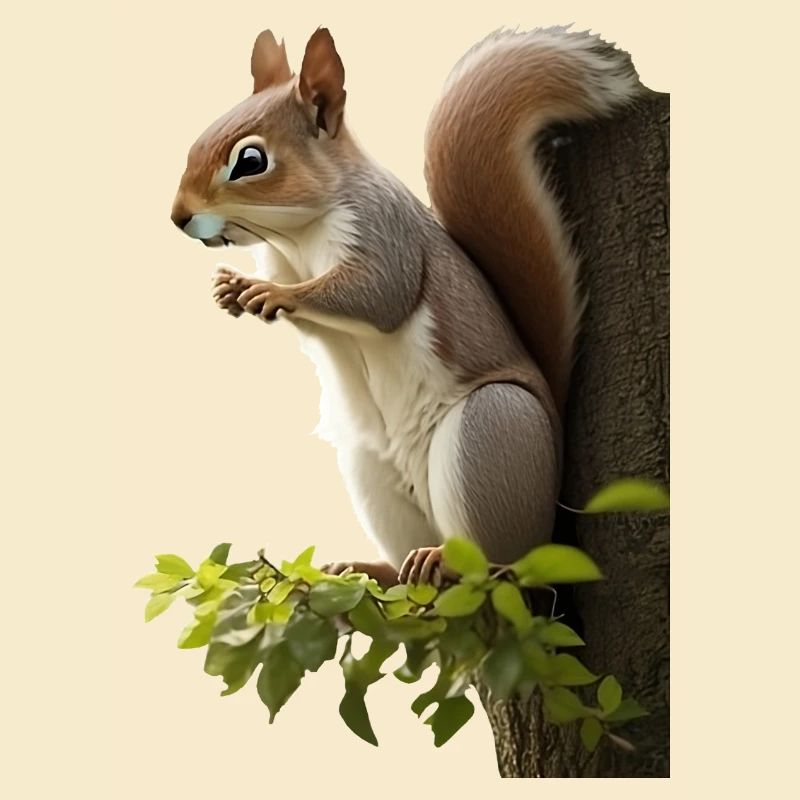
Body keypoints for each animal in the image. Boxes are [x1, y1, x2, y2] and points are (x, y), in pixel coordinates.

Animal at [171, 26, 642, 587]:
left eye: (250, 162)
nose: (178, 217)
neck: (297, 237)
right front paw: (234, 289)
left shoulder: (383, 231)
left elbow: (379, 295)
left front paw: (270, 293)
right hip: (371, 470)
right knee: (404, 559)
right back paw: (374, 567)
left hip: (494, 433)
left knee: (499, 562)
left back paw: (457, 561)